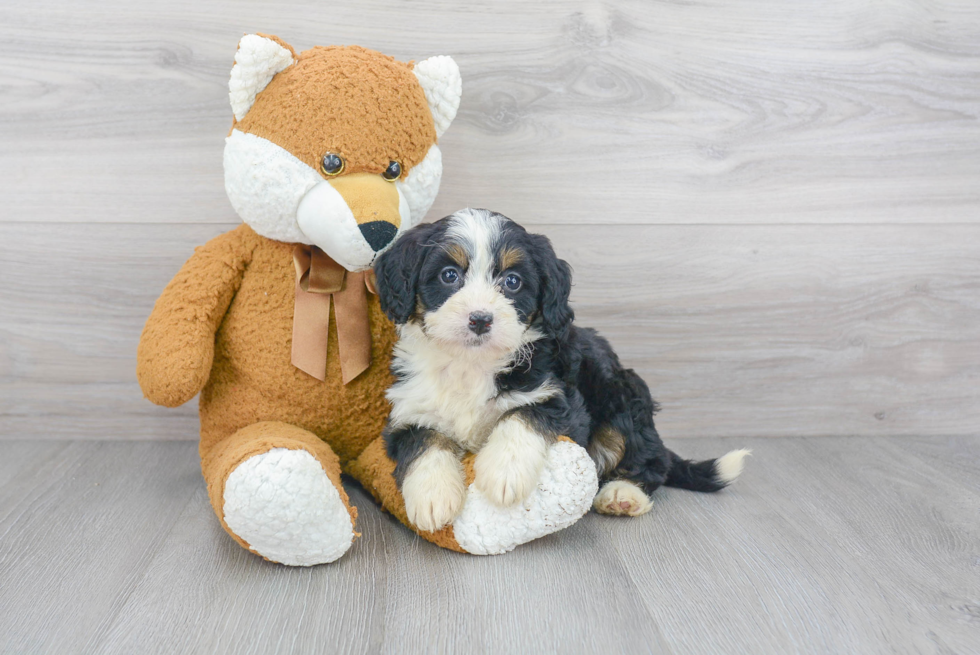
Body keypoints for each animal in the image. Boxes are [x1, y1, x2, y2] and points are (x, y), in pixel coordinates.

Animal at [372, 209, 748, 532]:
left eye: (512, 281)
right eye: (449, 275)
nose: (480, 319)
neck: (472, 363)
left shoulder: (556, 395)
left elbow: (521, 415)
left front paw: (503, 472)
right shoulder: (409, 410)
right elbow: (425, 440)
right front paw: (432, 496)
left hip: (621, 394)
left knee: (649, 459)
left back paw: (624, 493)